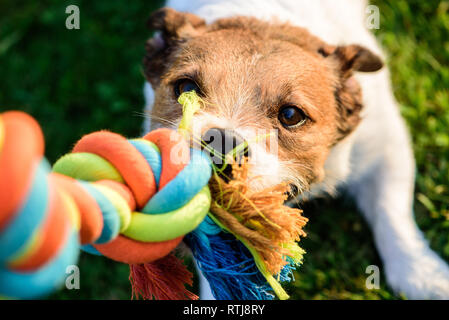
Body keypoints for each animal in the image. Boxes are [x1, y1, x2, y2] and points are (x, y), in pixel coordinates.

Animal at [142, 0, 448, 300]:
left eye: (291, 115)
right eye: (186, 88)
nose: (220, 143)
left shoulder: (385, 144)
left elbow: (392, 210)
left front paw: (422, 275)